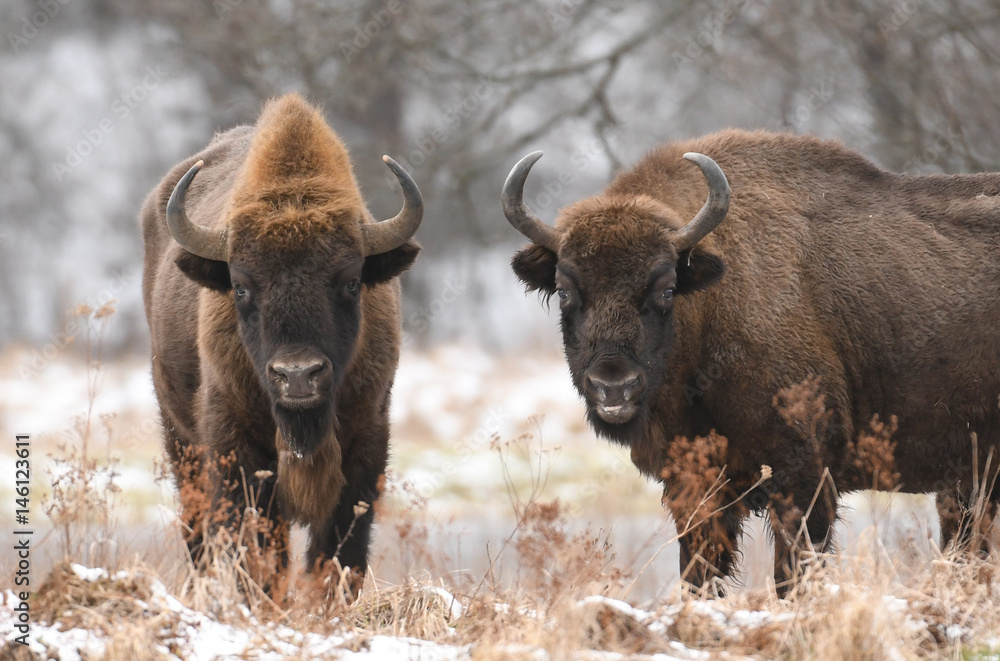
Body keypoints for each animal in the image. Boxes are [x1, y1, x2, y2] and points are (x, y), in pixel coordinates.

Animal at [141, 94, 422, 588]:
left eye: (351, 281)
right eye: (240, 286)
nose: (298, 376)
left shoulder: (366, 443)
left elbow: (340, 551)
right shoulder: (235, 449)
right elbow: (257, 547)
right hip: (180, 440)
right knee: (198, 533)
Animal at [504, 131, 1000, 592]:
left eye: (666, 288)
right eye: (564, 290)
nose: (613, 385)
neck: (711, 303)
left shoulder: (804, 476)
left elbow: (792, 574)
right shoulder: (695, 488)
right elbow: (699, 574)